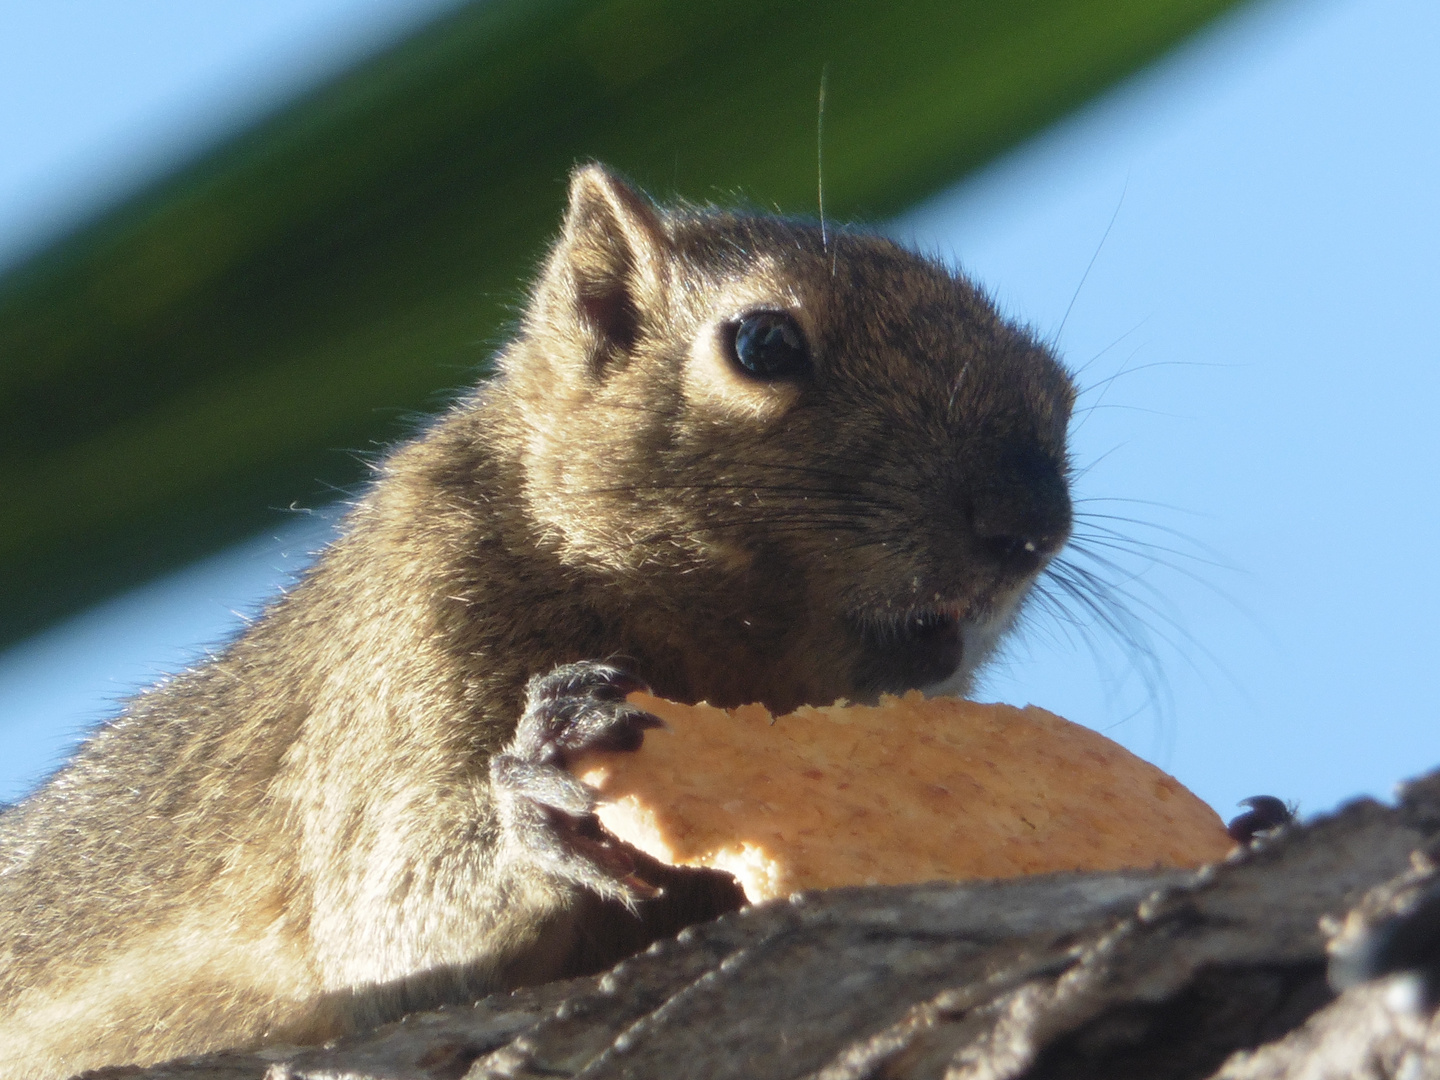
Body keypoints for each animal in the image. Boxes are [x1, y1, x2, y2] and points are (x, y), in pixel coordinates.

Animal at [0, 164, 1077, 1077]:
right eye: (763, 344)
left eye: (1063, 395)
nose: (1029, 524)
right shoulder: (404, 655)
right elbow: (385, 924)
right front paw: (540, 786)